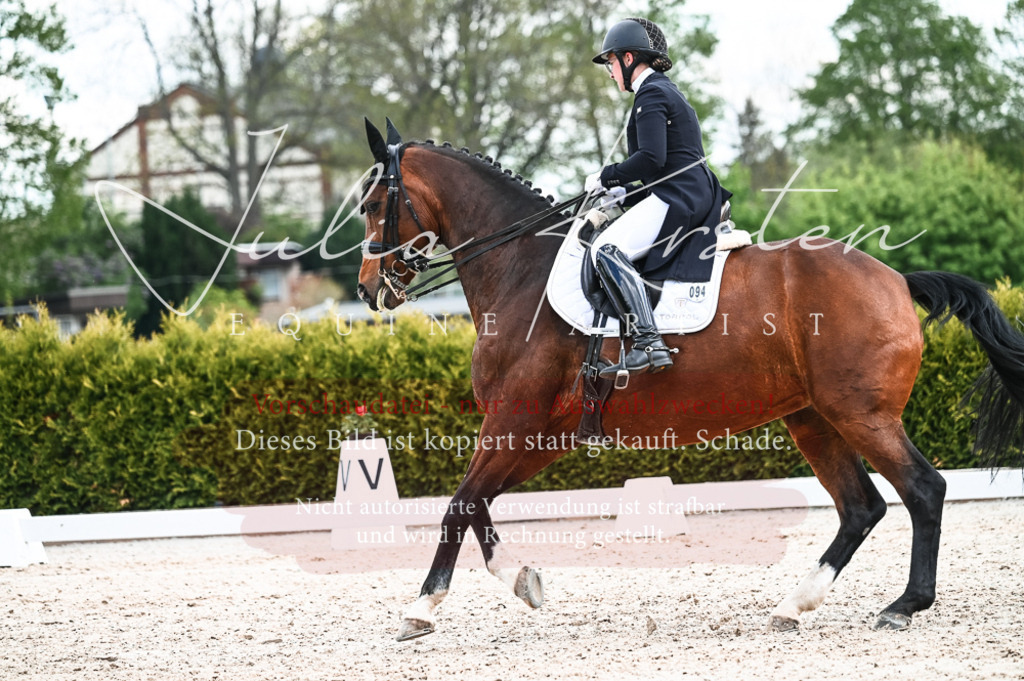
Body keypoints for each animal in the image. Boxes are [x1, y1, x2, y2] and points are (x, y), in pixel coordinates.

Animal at [356, 119, 1024, 641]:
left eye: (371, 207)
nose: (367, 291)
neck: (522, 270)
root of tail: (896, 280)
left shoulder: (516, 419)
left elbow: (459, 503)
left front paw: (422, 608)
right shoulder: (542, 432)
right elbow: (479, 503)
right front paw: (522, 581)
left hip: (862, 414)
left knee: (923, 490)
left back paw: (903, 606)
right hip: (813, 418)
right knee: (861, 506)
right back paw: (794, 605)